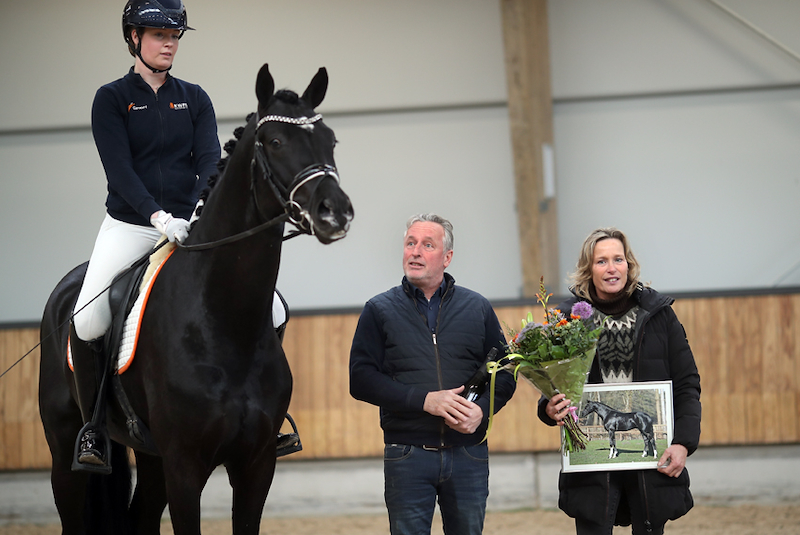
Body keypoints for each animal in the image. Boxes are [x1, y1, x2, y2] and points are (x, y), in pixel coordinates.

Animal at [38, 63, 353, 535]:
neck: (222, 321)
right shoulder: (185, 466)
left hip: (151, 456)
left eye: (330, 140)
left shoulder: (256, 465)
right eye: (275, 142)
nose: (336, 212)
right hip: (65, 451)